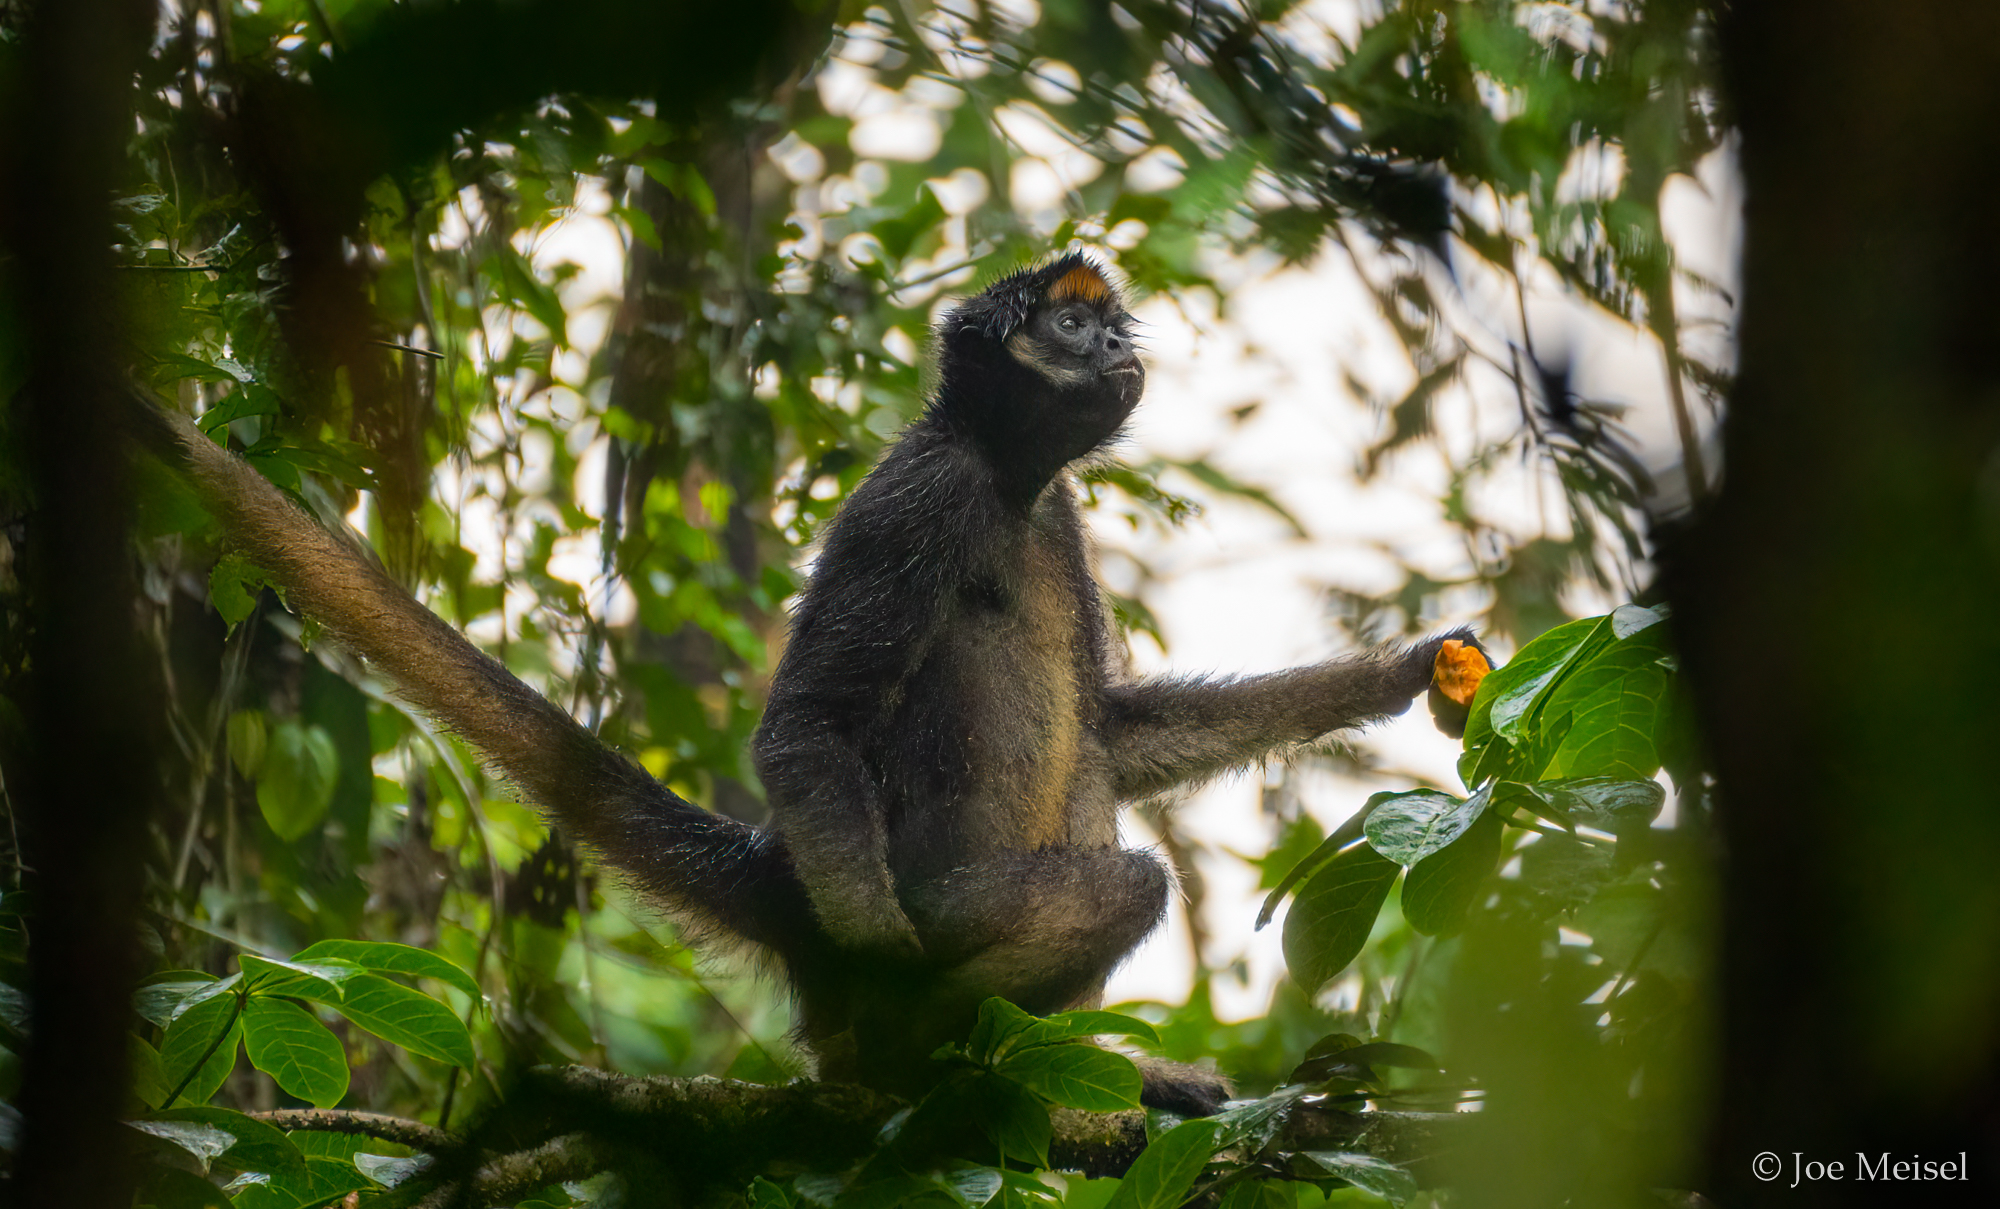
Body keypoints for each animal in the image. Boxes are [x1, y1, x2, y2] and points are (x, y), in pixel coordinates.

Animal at [137, 252, 1472, 1112]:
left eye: (1109, 327)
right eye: (1066, 324)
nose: (1113, 345)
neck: (1005, 479)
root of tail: (781, 875)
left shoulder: (1062, 523)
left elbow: (1117, 728)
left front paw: (1407, 672)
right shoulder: (914, 499)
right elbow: (807, 724)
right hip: (929, 899)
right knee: (1122, 882)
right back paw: (889, 1049)